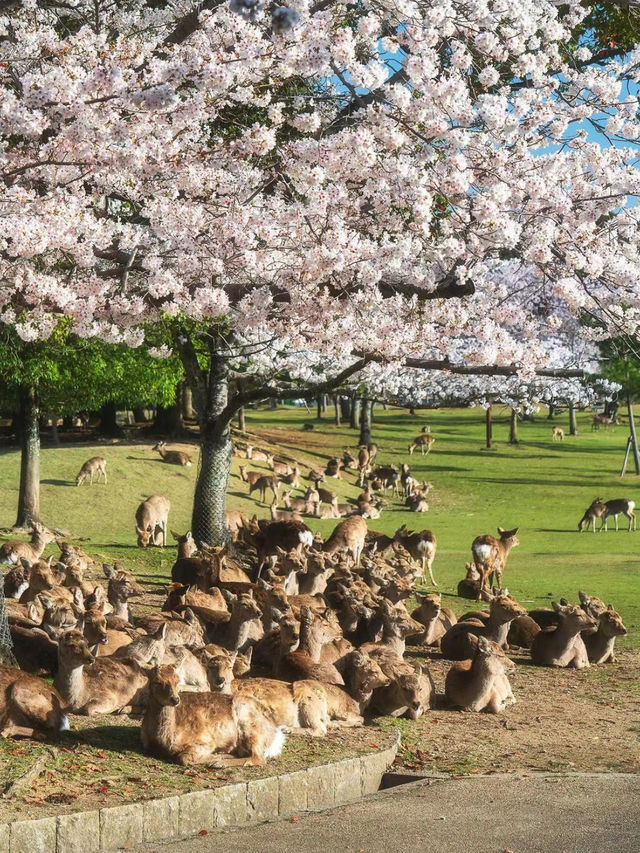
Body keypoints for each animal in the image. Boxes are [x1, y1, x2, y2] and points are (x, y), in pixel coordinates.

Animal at [144, 664, 286, 768]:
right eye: (156, 681)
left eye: (177, 680)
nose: (175, 699)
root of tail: (276, 733)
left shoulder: (205, 740)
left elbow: (184, 758)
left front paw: (216, 758)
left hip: (249, 724)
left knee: (258, 758)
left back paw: (219, 763)